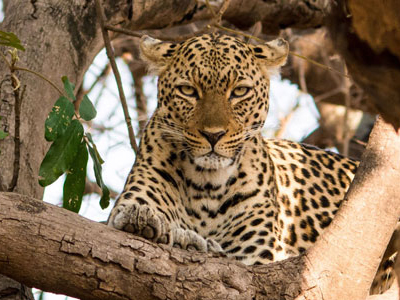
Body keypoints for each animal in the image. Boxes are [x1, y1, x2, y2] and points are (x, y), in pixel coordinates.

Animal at [107, 32, 396, 292]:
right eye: (188, 90)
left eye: (240, 92)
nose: (213, 135)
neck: (206, 185)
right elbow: (134, 214)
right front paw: (151, 222)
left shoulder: (256, 260)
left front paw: (192, 242)